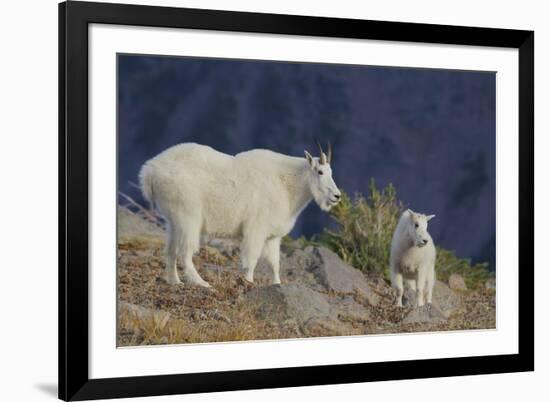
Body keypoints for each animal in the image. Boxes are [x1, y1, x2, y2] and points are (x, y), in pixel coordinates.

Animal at [140, 143, 342, 288]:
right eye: (320, 171)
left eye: (332, 172)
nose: (337, 196)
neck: (286, 184)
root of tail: (150, 172)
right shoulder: (256, 229)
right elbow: (251, 260)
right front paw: (249, 283)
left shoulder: (272, 236)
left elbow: (274, 263)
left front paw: (277, 284)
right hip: (188, 217)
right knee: (185, 252)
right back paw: (202, 283)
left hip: (173, 220)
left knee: (170, 250)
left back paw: (174, 281)